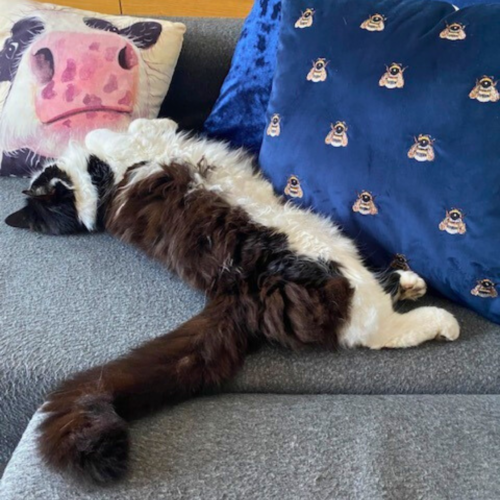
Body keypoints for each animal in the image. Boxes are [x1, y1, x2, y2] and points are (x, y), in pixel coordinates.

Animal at [5, 118, 458, 484]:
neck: (100, 194)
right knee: (376, 330)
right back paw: (441, 320)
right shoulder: (120, 155)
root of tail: (236, 296)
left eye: (52, 196)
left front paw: (158, 122)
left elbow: (117, 128)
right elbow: (119, 129)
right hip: (323, 254)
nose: (60, 187)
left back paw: (412, 282)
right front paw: (156, 123)